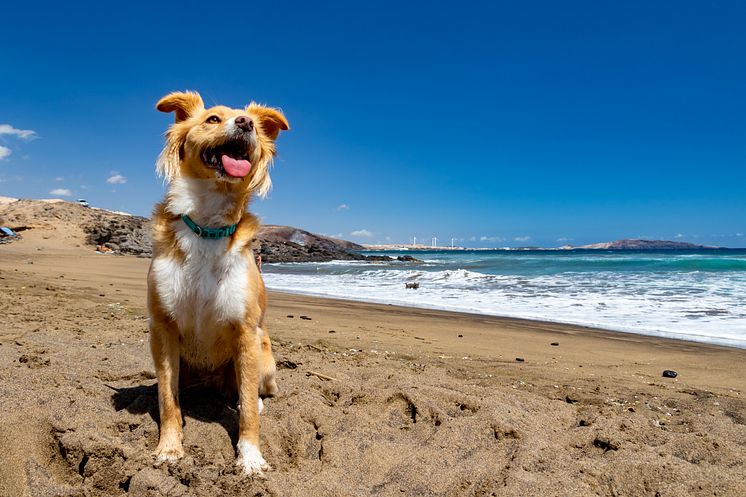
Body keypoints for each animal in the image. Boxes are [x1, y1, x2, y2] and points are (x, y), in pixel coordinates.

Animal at [147, 91, 286, 474]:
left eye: (252, 125)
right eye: (212, 119)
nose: (246, 123)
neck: (208, 225)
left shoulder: (246, 332)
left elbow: (249, 412)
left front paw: (250, 457)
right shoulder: (162, 329)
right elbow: (167, 399)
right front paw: (169, 448)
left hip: (263, 355)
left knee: (252, 393)